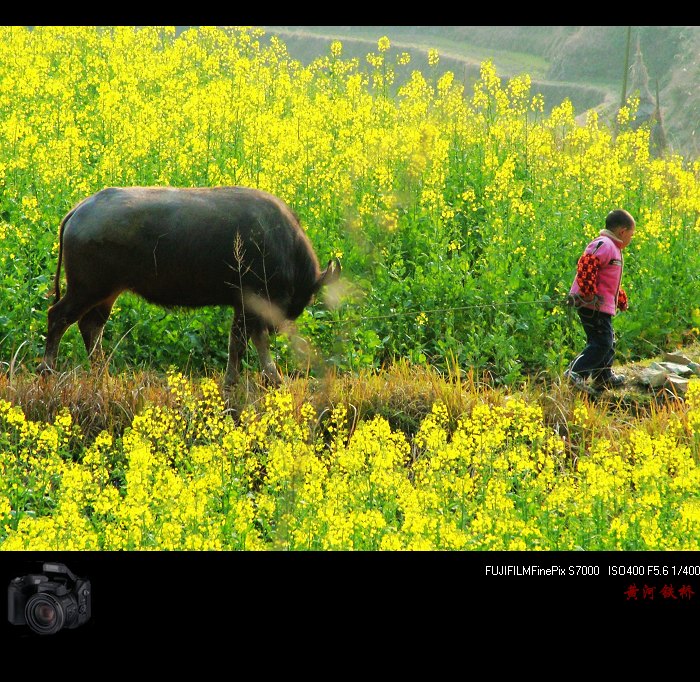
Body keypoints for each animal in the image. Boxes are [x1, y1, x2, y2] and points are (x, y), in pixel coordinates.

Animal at [38, 186, 342, 386]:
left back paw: (102, 372)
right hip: (86, 289)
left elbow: (244, 341)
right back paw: (47, 370)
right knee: (59, 317)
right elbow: (243, 342)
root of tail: (79, 210)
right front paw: (254, 378)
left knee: (91, 326)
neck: (282, 245)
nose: (283, 321)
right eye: (307, 294)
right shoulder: (251, 304)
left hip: (106, 294)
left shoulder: (245, 306)